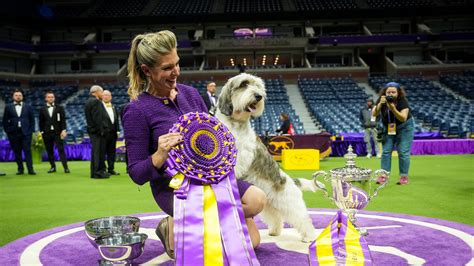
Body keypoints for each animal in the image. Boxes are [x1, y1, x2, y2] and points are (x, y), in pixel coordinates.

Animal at [217, 72, 316, 241]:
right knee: (276, 217)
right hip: (269, 203)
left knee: (304, 219)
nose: (259, 96)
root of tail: (291, 181)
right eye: (244, 84)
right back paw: (274, 231)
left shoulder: (241, 156)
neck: (235, 124)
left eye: (258, 86)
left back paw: (309, 237)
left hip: (290, 203)